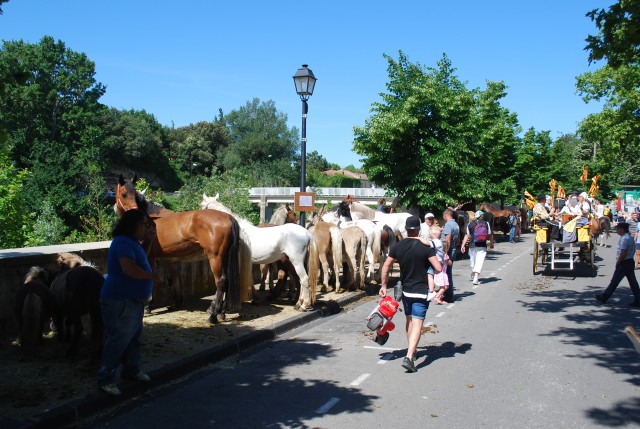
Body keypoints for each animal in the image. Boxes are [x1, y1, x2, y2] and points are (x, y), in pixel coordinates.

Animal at [114, 175, 254, 320]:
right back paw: (221, 312)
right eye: (124, 194)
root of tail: (229, 218)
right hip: (224, 258)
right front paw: (176, 302)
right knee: (227, 282)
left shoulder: (150, 257)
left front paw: (148, 306)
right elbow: (171, 281)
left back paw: (214, 314)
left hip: (215, 258)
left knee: (220, 282)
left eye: (132, 194)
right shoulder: (168, 260)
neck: (151, 218)